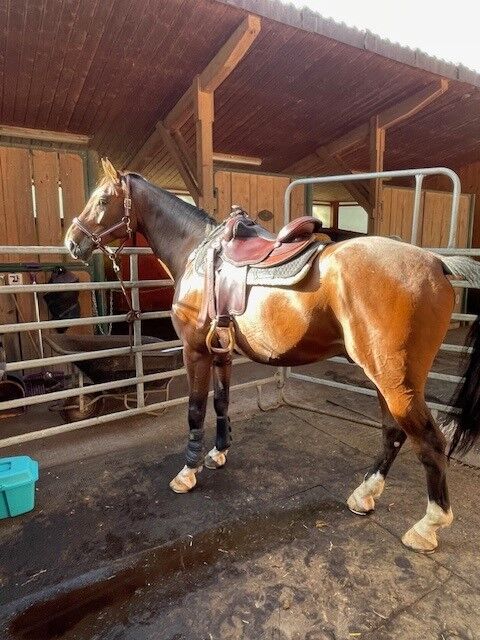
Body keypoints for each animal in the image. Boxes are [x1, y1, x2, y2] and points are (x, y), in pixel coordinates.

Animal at [64, 161, 480, 556]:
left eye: (103, 200)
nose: (72, 242)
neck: (196, 252)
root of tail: (436, 263)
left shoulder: (195, 351)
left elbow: (196, 409)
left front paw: (188, 470)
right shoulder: (222, 353)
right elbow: (221, 402)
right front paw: (218, 453)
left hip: (395, 381)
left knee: (429, 442)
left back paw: (427, 526)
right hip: (386, 379)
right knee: (393, 432)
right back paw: (364, 495)